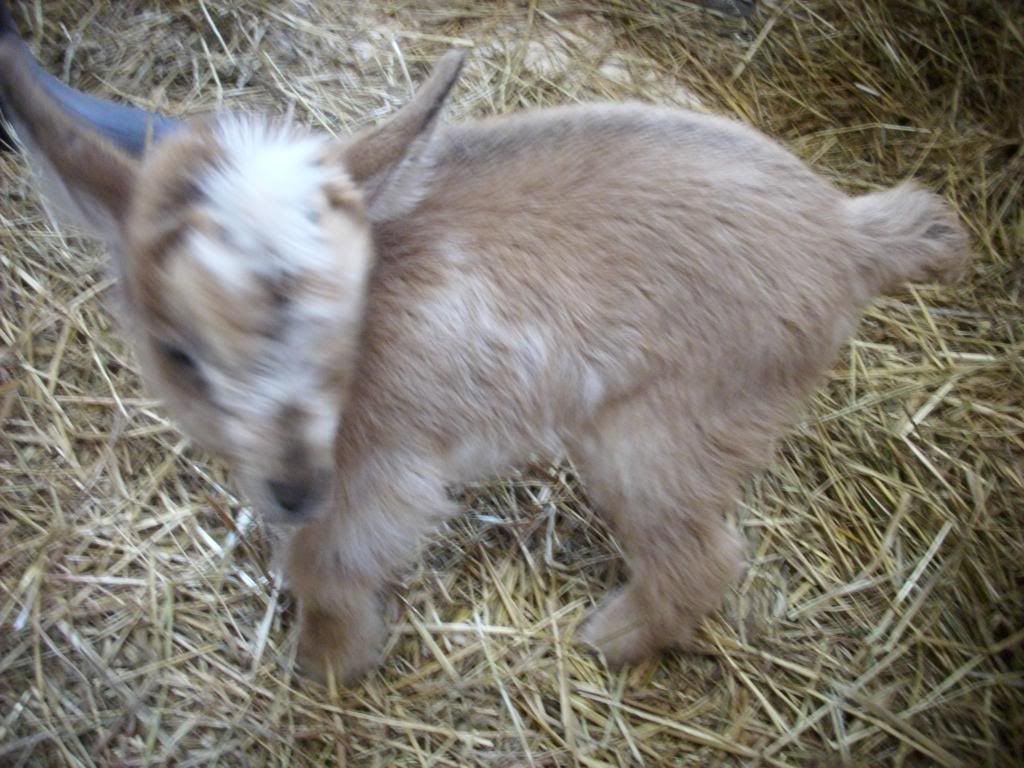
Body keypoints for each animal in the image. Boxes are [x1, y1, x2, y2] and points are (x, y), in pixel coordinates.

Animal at [0, 5, 970, 684]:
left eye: (343, 324)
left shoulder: (380, 469)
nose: (293, 487)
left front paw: (329, 662)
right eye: (180, 353)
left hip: (662, 435)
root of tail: (849, 236)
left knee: (706, 559)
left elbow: (325, 563)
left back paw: (610, 637)